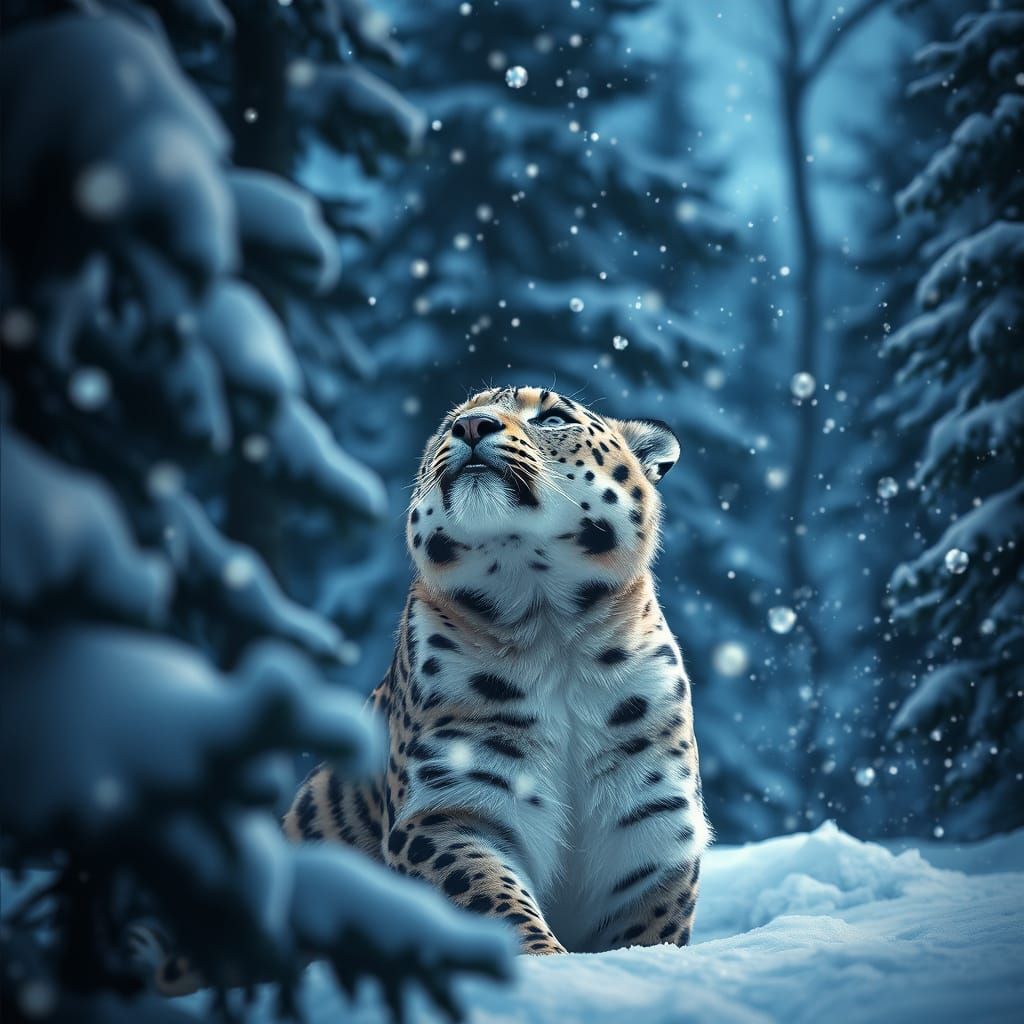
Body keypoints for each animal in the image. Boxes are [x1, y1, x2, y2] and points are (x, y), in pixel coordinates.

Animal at [283, 385, 710, 956]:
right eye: (450, 423)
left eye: (551, 418)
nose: (471, 426)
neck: (550, 624)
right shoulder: (449, 808)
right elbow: (490, 898)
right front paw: (544, 963)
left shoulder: (651, 823)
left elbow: (649, 933)